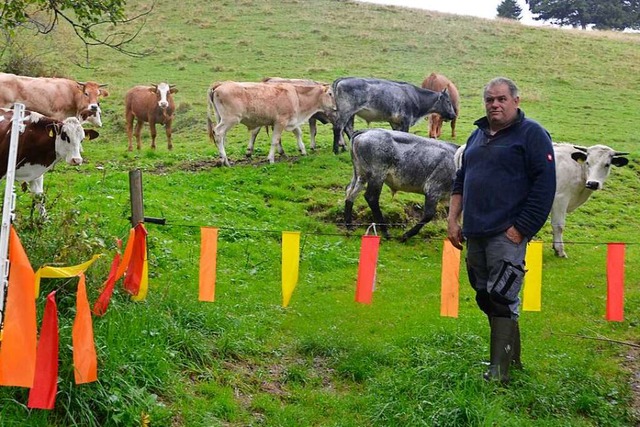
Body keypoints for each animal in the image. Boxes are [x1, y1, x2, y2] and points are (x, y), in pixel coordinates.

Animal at [208, 81, 338, 166]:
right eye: (330, 94)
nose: (336, 107)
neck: (297, 96)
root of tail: (219, 85)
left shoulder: (292, 121)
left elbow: (298, 133)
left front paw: (303, 150)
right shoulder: (280, 122)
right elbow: (275, 140)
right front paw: (271, 159)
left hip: (220, 118)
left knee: (221, 137)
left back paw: (223, 159)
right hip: (230, 119)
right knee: (218, 133)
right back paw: (225, 160)